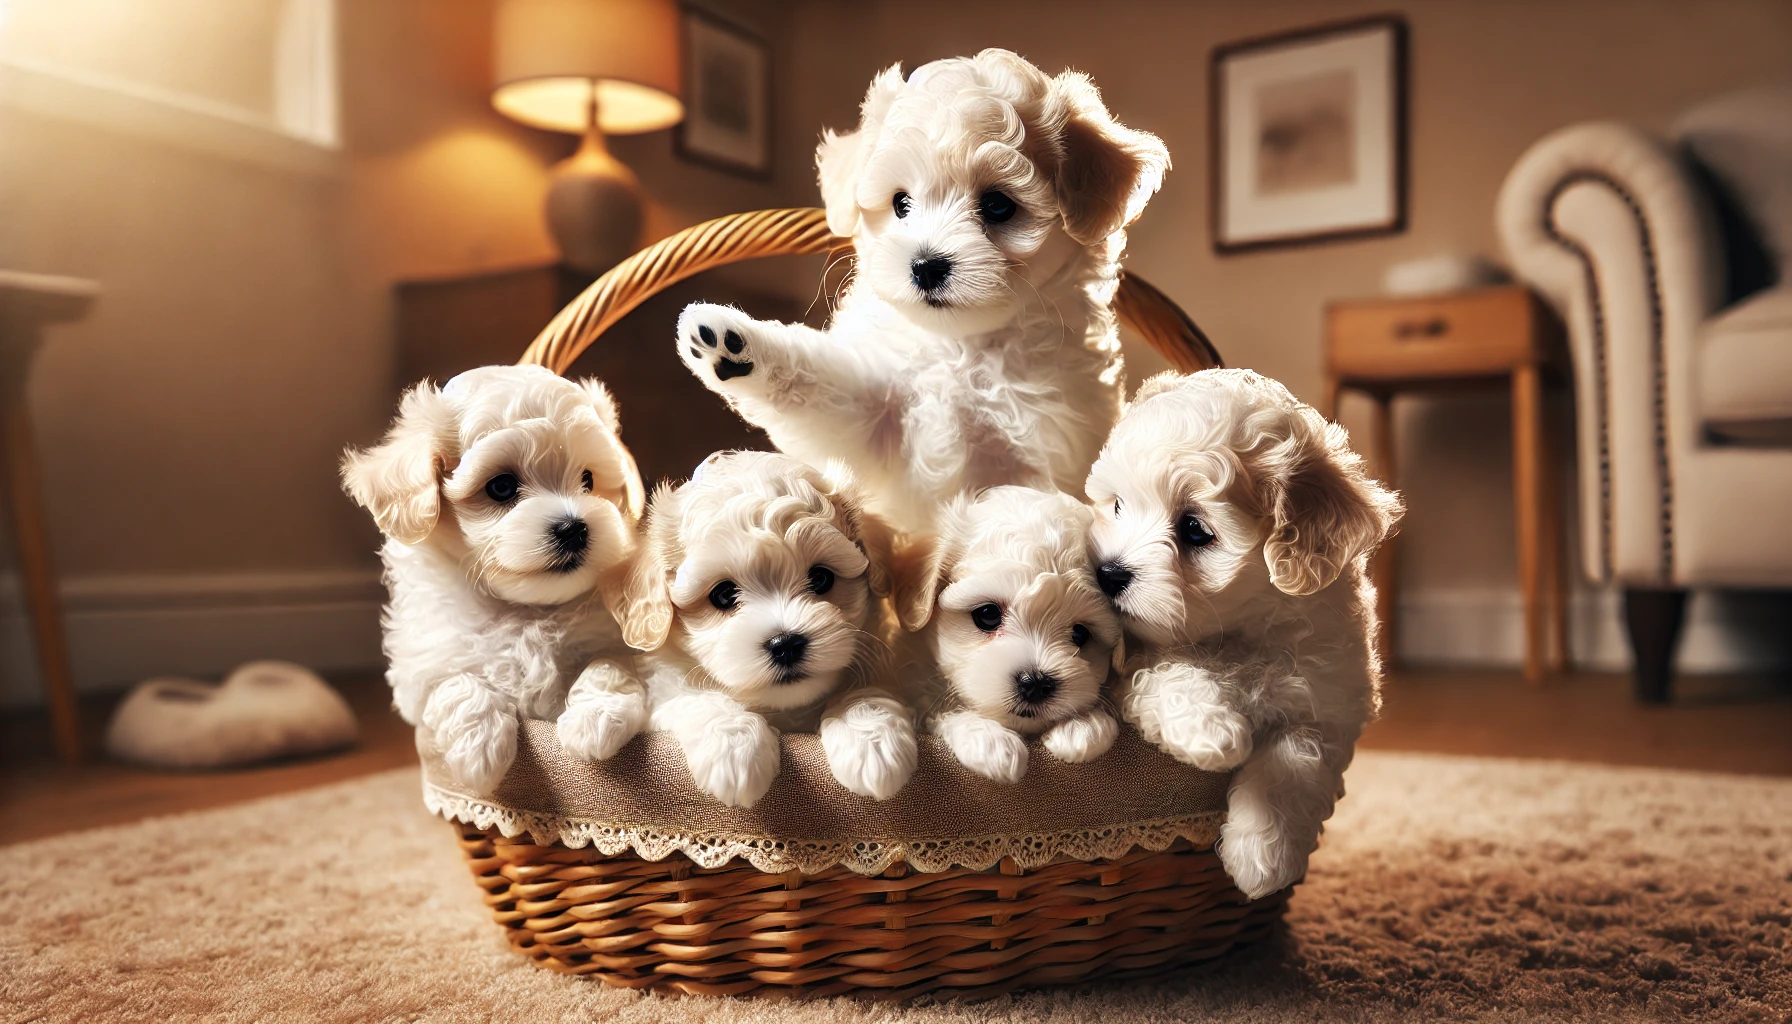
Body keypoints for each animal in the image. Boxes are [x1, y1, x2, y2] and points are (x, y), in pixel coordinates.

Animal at [338, 364, 648, 796]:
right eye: (501, 486)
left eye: (587, 480)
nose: (574, 528)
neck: (524, 609)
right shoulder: (424, 666)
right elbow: (454, 681)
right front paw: (479, 751)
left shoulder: (612, 638)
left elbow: (611, 663)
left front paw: (595, 721)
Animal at [609, 448, 917, 810]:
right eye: (724, 594)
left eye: (821, 578)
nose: (785, 643)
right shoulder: (663, 697)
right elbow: (698, 699)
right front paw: (735, 750)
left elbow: (867, 689)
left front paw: (871, 738)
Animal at [670, 47, 1161, 534]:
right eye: (901, 203)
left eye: (998, 205)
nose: (926, 266)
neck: (962, 348)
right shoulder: (872, 408)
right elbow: (822, 391)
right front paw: (731, 343)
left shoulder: (1050, 443)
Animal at [1075, 373, 1397, 900]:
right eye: (1118, 505)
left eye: (1194, 529)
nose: (1107, 574)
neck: (1243, 630)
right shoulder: (1134, 656)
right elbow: (1167, 675)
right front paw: (1210, 731)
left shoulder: (1328, 703)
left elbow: (1295, 762)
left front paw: (1263, 857)